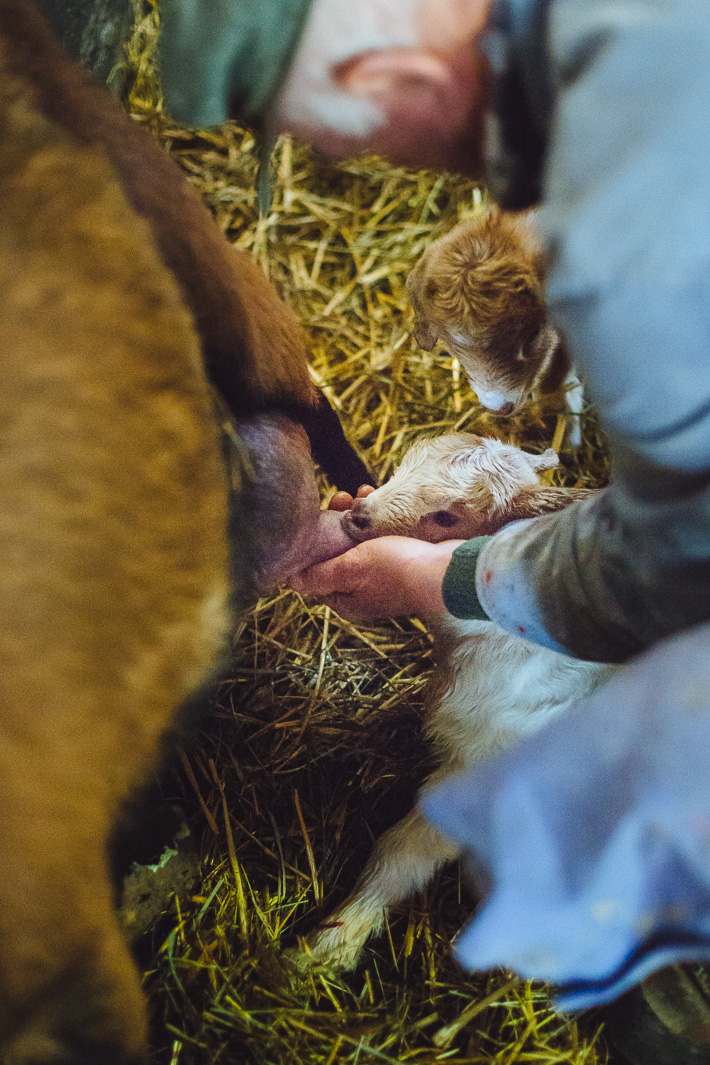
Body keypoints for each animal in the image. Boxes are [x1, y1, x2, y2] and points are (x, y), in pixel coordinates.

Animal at [298, 434, 613, 975]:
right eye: (405, 464)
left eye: (446, 516)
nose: (359, 514)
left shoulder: (486, 771)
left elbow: (403, 851)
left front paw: (330, 946)